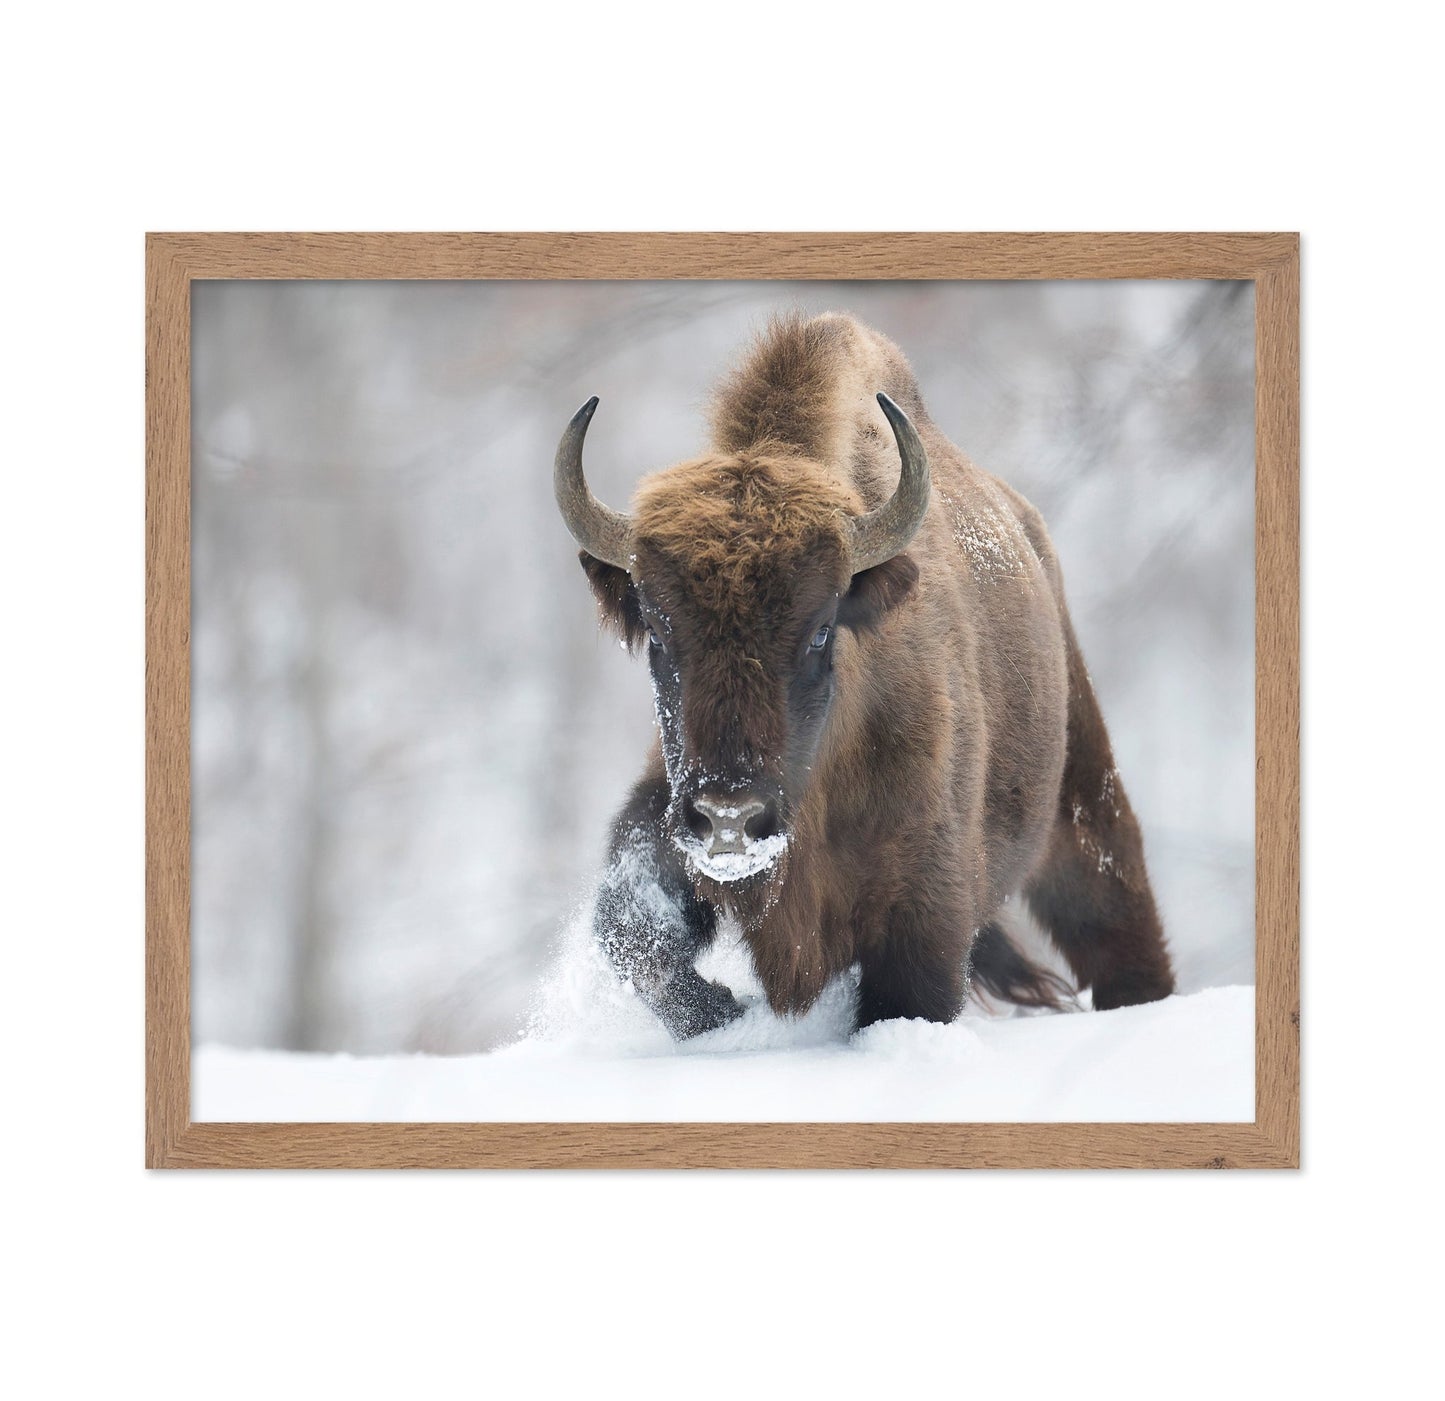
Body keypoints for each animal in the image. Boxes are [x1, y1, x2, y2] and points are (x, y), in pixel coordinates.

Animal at [554, 312, 1174, 1038]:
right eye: (657, 631)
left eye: (821, 628)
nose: (728, 818)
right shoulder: (665, 812)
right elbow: (634, 932)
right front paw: (724, 1008)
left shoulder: (923, 919)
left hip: (1082, 804)